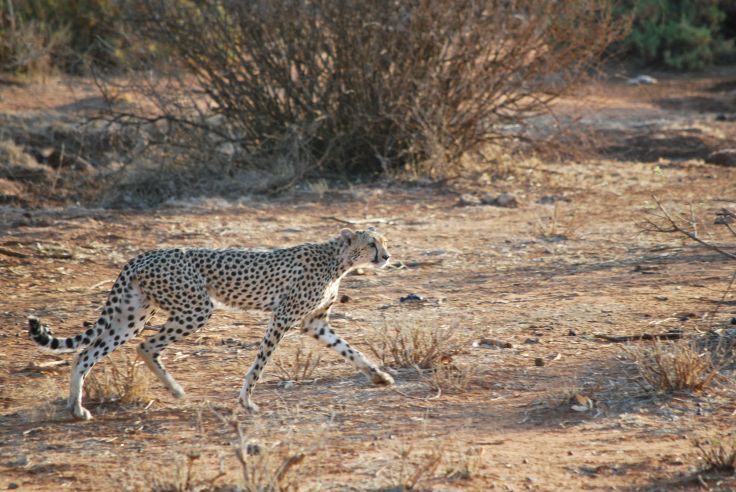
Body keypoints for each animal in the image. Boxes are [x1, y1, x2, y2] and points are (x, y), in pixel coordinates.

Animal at [27, 229, 396, 420]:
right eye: (371, 243)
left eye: (382, 241)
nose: (387, 256)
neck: (338, 260)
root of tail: (142, 255)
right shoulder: (283, 317)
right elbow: (260, 363)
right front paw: (246, 401)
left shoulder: (314, 323)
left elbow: (350, 350)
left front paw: (378, 375)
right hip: (196, 308)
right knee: (146, 346)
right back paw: (173, 390)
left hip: (133, 316)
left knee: (86, 354)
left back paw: (77, 408)